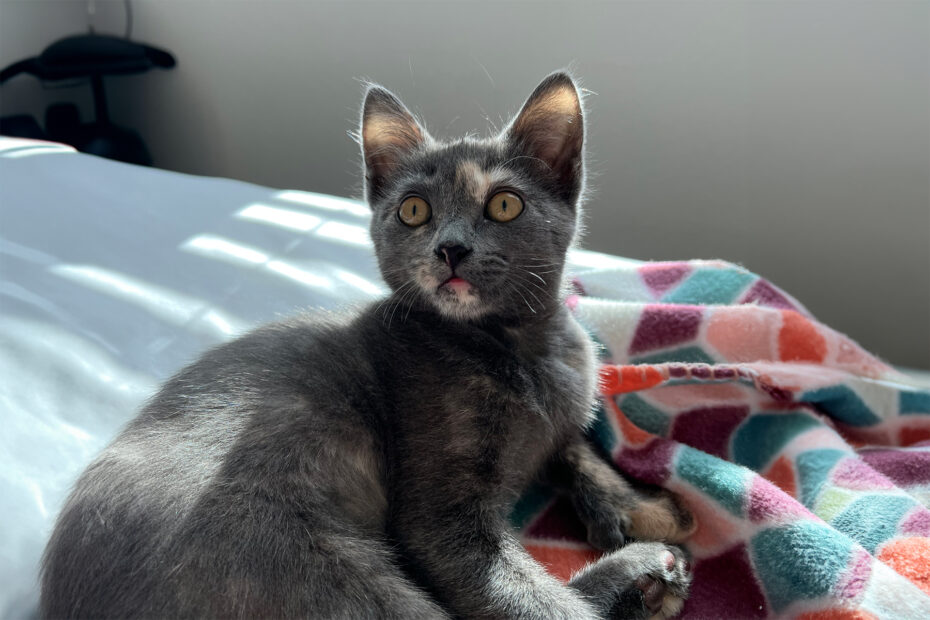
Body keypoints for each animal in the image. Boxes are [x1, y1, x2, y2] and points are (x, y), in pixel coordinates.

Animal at [45, 74, 696, 620]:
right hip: (307, 562)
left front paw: (639, 506)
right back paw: (640, 575)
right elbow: (526, 597)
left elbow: (575, 442)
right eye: (414, 210)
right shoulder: (440, 520)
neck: (519, 345)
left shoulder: (565, 406)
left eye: (504, 203)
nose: (450, 247)